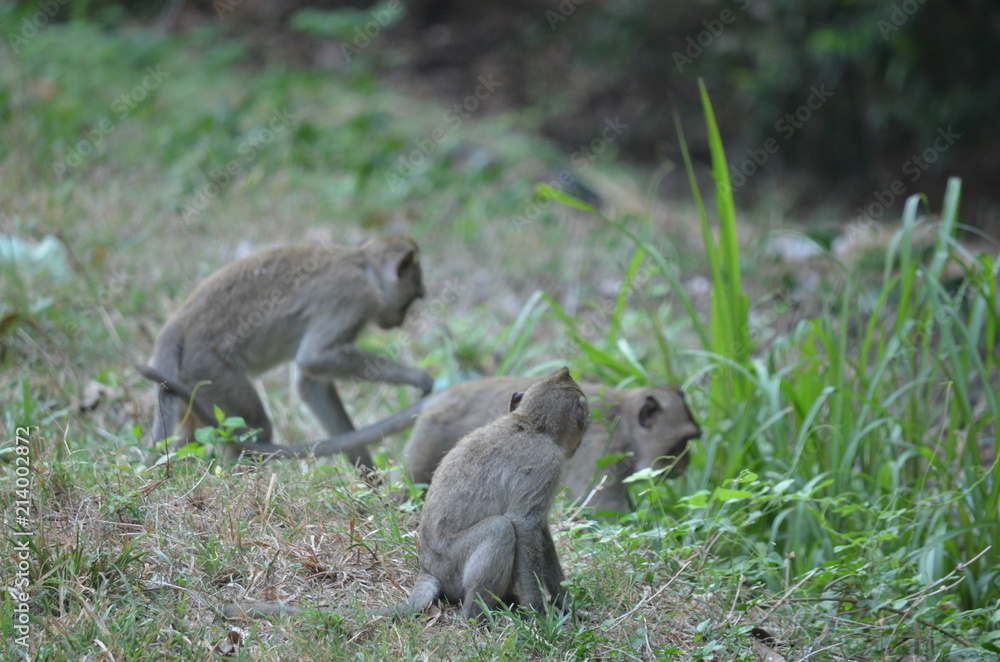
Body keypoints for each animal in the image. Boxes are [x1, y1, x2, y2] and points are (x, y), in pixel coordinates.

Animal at [135, 236, 432, 470]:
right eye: (413, 297)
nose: (400, 320)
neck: (363, 264)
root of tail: (175, 328)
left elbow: (310, 384)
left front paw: (368, 475)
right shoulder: (354, 297)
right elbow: (315, 358)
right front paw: (420, 379)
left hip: (188, 381)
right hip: (208, 369)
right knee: (256, 428)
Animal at [378, 370, 588, 620]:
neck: (531, 424)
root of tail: (428, 567)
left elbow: (541, 531)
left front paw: (565, 604)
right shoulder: (546, 465)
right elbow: (525, 525)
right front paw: (539, 613)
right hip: (452, 568)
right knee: (500, 528)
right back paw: (475, 615)